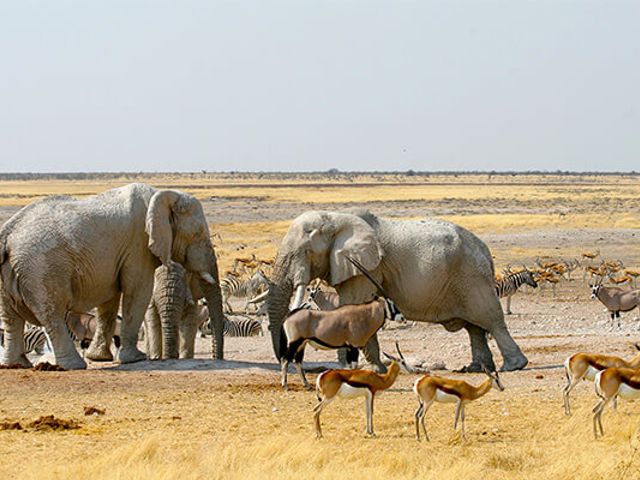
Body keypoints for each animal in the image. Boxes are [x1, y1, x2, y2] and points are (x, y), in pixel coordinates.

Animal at [0, 182, 225, 370]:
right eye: (198, 234)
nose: (219, 359)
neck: (162, 194)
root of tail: (7, 234)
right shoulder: (138, 245)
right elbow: (138, 291)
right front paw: (136, 358)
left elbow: (110, 299)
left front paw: (100, 357)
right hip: (41, 270)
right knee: (52, 313)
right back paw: (72, 365)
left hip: (11, 271)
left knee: (11, 317)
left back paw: (16, 365)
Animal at [266, 209, 528, 372]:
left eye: (305, 252)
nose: (283, 357)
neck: (335, 217)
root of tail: (486, 250)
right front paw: (372, 368)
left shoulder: (366, 266)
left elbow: (356, 304)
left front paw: (367, 369)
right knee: (474, 328)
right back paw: (475, 369)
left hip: (472, 277)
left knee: (491, 320)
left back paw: (514, 366)